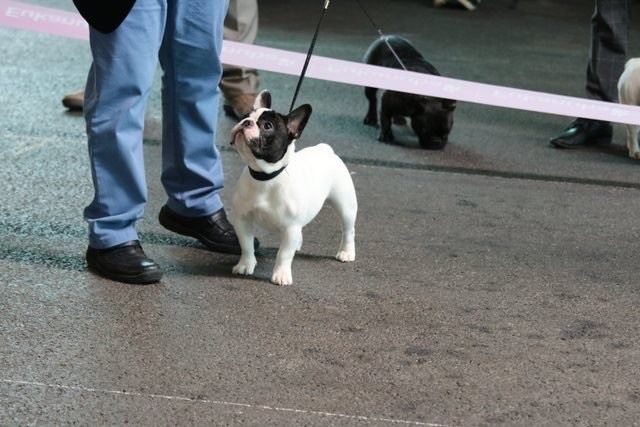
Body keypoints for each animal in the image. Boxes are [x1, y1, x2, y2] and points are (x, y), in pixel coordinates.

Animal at [230, 89, 360, 288]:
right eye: (245, 116)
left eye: (267, 126)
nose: (246, 122)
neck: (266, 176)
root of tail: (325, 149)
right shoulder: (242, 219)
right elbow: (246, 245)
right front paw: (245, 265)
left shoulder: (291, 227)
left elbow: (284, 254)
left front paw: (281, 275)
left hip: (345, 205)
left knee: (348, 230)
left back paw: (346, 252)